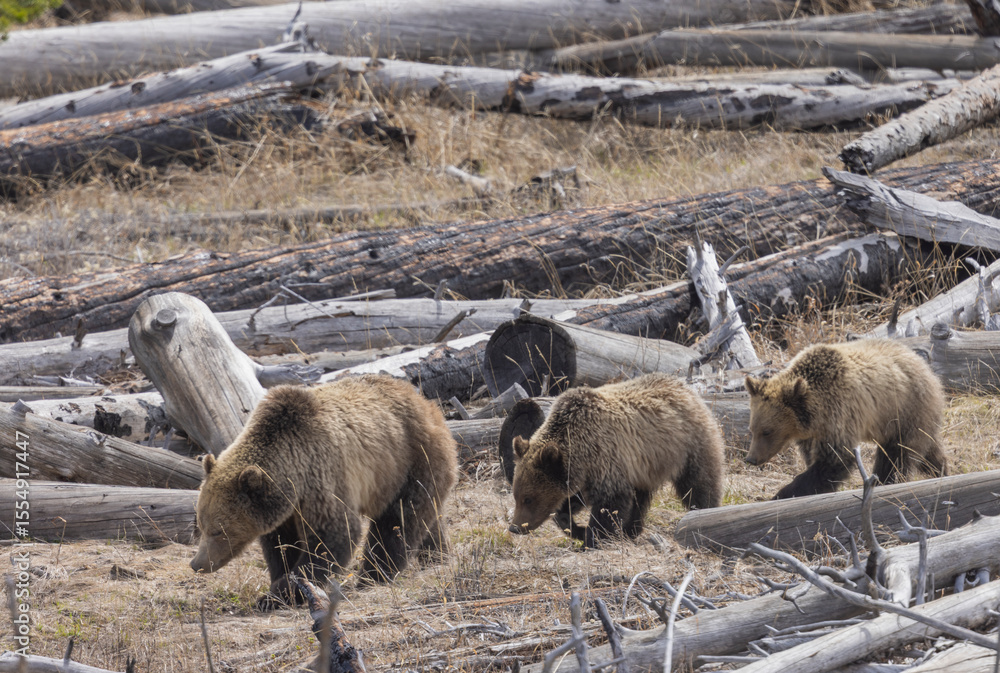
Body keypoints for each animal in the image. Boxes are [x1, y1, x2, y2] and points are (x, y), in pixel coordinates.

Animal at [189, 374, 458, 605]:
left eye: (218, 531)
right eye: (201, 525)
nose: (197, 563)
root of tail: (425, 402)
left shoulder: (321, 476)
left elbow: (333, 536)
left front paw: (281, 593)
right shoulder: (287, 508)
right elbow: (282, 545)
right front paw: (278, 585)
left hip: (409, 459)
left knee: (398, 521)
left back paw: (374, 575)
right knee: (427, 518)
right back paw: (437, 555)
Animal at [508, 373, 725, 548]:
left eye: (528, 498)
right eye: (516, 495)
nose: (515, 527)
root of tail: (688, 390)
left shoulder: (605, 459)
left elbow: (609, 504)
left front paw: (592, 539)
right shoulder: (584, 473)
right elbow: (572, 503)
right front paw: (575, 527)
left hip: (689, 446)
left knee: (699, 484)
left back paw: (704, 514)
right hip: (646, 466)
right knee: (640, 499)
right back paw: (631, 530)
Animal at [744, 339, 947, 499]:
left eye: (767, 431)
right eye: (752, 430)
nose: (751, 459)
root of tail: (925, 366)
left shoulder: (839, 414)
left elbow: (836, 460)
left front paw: (783, 493)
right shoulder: (813, 432)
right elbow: (815, 457)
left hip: (904, 409)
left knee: (897, 454)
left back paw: (887, 481)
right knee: (928, 450)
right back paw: (941, 470)